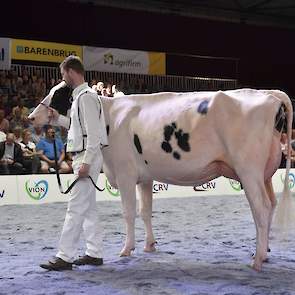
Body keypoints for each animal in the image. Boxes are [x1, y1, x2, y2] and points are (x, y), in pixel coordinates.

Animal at [29, 82, 295, 272]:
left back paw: (257, 260)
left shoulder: (125, 173)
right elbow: (145, 211)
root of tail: (269, 94)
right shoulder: (145, 177)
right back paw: (264, 253)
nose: (31, 117)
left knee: (260, 208)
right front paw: (149, 246)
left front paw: (126, 249)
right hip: (264, 174)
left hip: (249, 171)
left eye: (57, 93)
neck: (109, 116)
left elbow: (128, 212)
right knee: (271, 204)